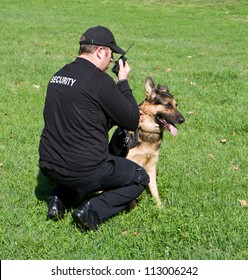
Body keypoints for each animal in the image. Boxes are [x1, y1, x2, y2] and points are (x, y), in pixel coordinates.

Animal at [109, 76, 185, 208]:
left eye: (176, 105)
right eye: (168, 105)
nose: (183, 120)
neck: (148, 130)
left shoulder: (152, 167)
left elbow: (155, 191)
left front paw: (160, 208)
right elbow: (132, 197)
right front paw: (133, 210)